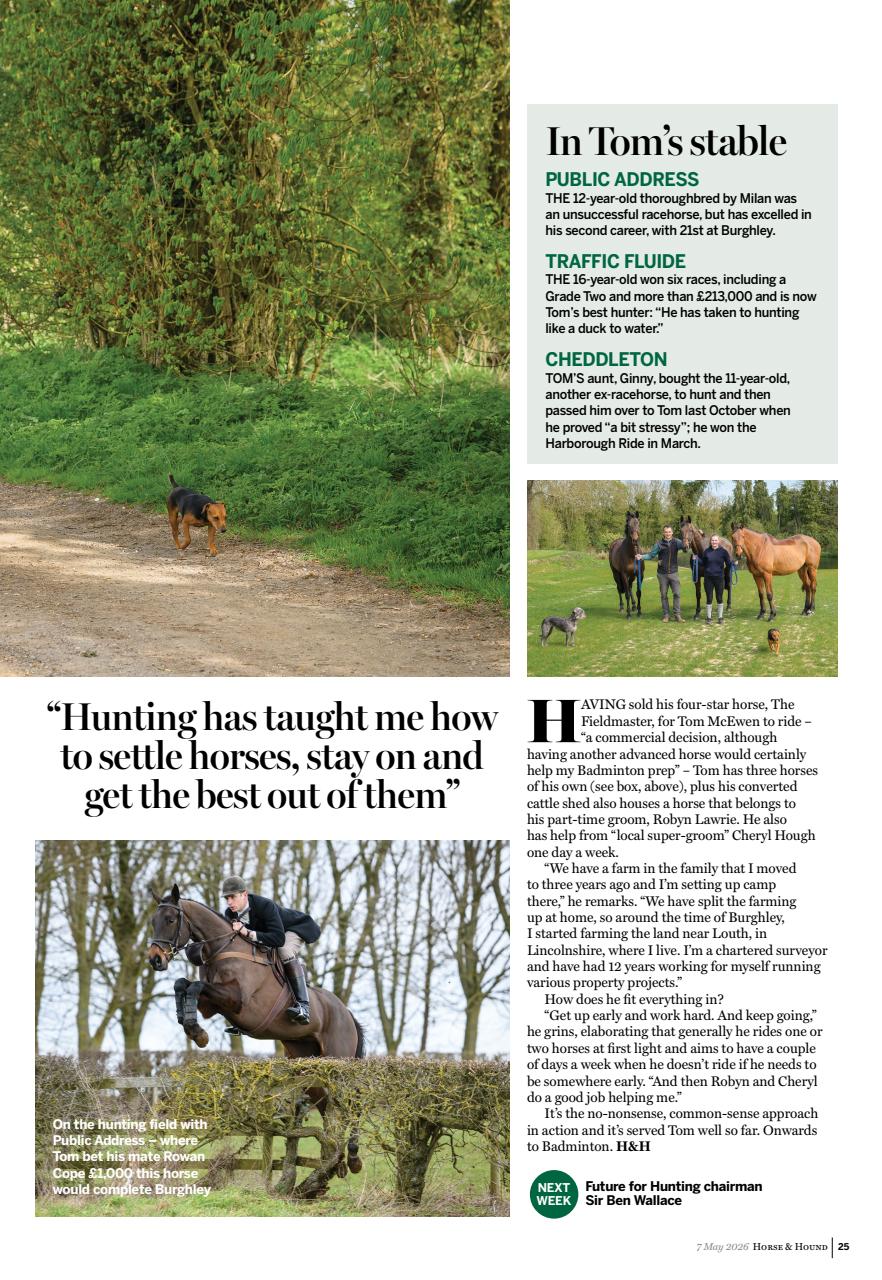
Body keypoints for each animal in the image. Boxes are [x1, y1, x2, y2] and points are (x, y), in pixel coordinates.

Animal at [147, 885, 364, 1191]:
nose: (155, 959)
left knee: (352, 1102)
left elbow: (196, 985)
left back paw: (352, 1158)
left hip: (339, 1061)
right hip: (310, 1065)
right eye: (153, 921)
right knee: (328, 1108)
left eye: (169, 920)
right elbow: (183, 985)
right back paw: (334, 1163)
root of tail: (347, 1012)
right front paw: (193, 1028)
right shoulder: (212, 1005)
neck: (223, 948)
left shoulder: (237, 1002)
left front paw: (196, 1032)